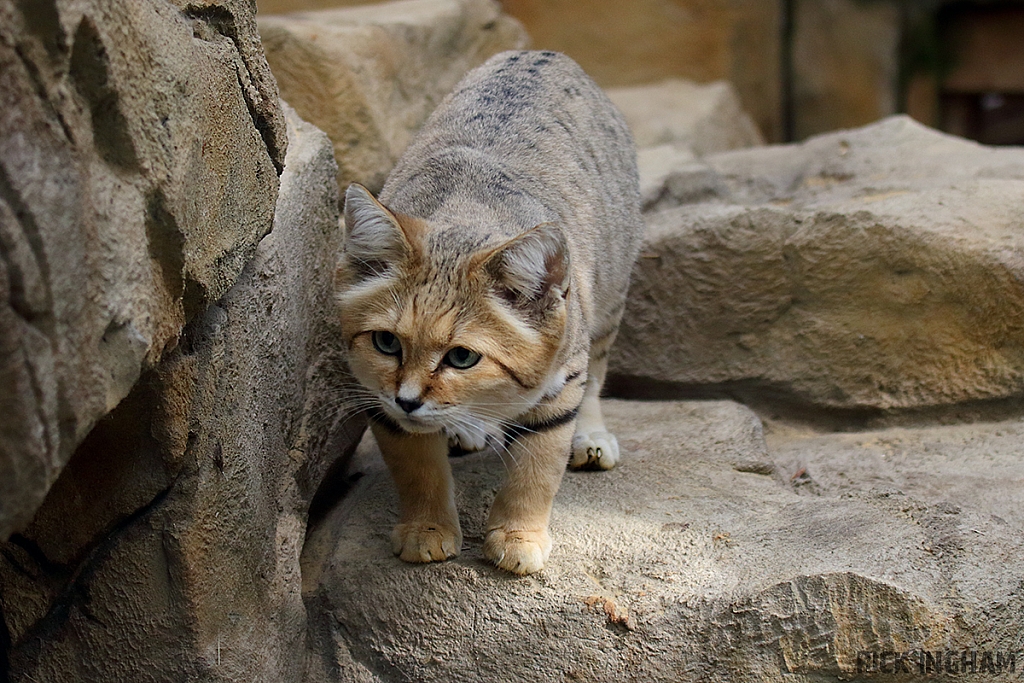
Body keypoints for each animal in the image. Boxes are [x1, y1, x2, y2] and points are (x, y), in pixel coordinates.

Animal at [335, 49, 638, 577]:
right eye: (386, 342)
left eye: (462, 358)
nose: (408, 400)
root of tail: (545, 53)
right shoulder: (377, 396)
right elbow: (416, 468)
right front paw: (426, 529)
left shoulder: (562, 383)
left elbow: (536, 468)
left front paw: (518, 536)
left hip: (608, 303)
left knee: (598, 375)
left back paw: (591, 437)